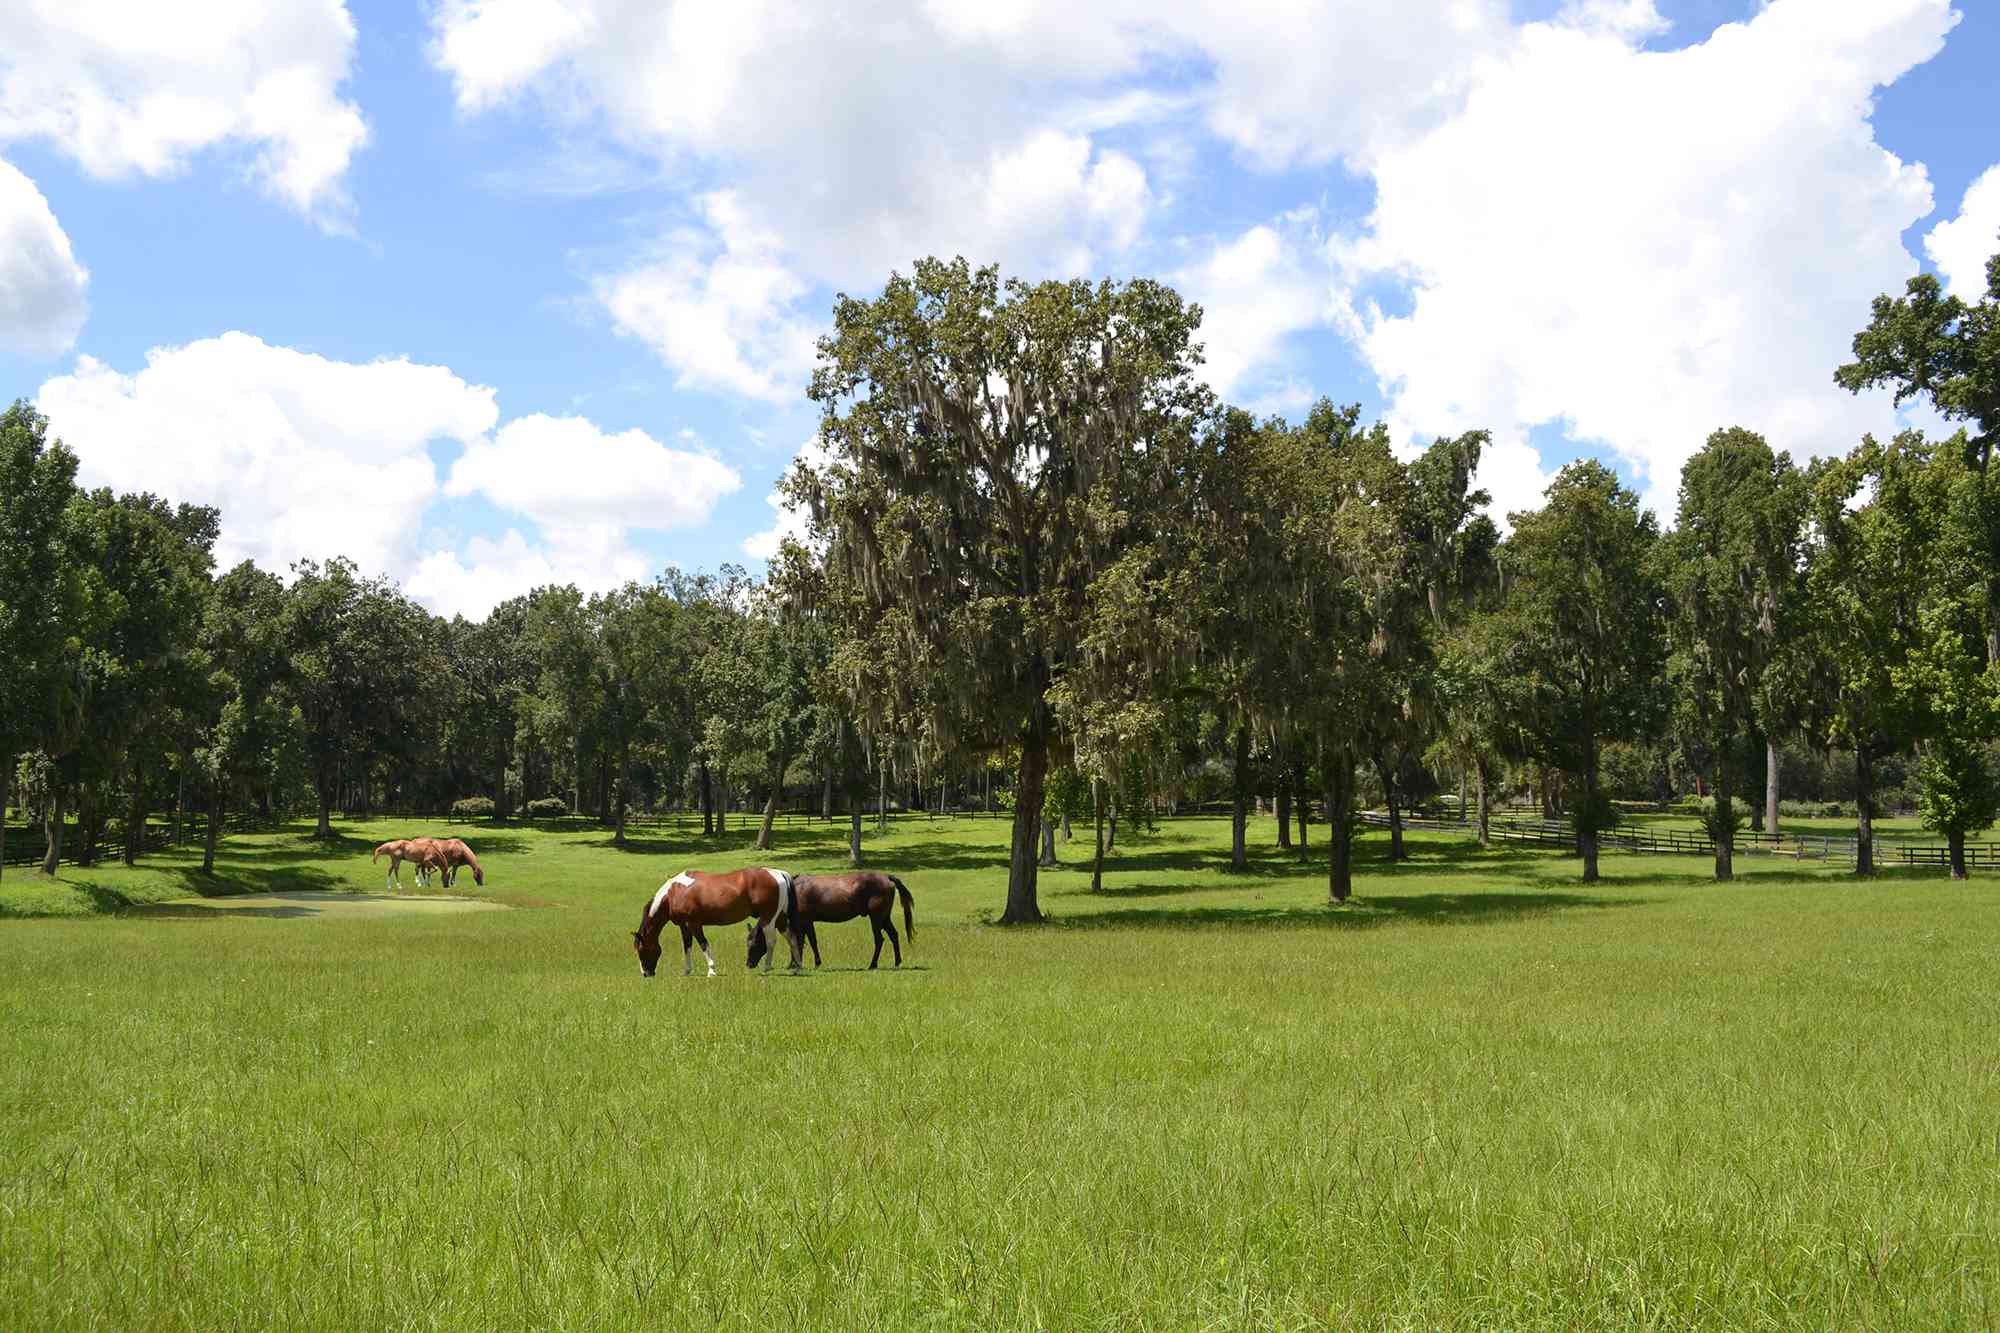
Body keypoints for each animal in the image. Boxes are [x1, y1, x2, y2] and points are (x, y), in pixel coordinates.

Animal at [632, 867, 791, 978]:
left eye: (641, 950)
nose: (646, 973)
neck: (674, 894)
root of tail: (777, 873)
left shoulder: (694, 924)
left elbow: (703, 944)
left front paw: (712, 970)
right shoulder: (684, 926)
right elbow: (687, 947)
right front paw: (687, 970)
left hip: (768, 919)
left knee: (771, 941)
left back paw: (766, 967)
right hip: (779, 919)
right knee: (790, 937)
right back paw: (794, 966)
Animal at [747, 871, 914, 972]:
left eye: (754, 943)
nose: (749, 964)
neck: (792, 893)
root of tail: (887, 877)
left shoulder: (804, 921)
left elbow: (805, 942)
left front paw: (804, 963)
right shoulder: (806, 922)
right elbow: (803, 941)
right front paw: (795, 963)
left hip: (876, 918)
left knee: (879, 939)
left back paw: (872, 964)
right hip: (884, 917)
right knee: (894, 935)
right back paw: (897, 962)